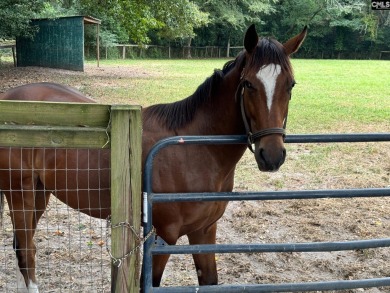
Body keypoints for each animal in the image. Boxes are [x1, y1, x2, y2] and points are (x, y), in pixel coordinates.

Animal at [0, 24, 304, 290]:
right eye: (249, 84)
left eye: (290, 85)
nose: (272, 155)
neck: (193, 148)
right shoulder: (163, 237)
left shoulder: (204, 231)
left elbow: (209, 281)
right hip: (20, 193)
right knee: (26, 250)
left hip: (40, 193)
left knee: (20, 247)